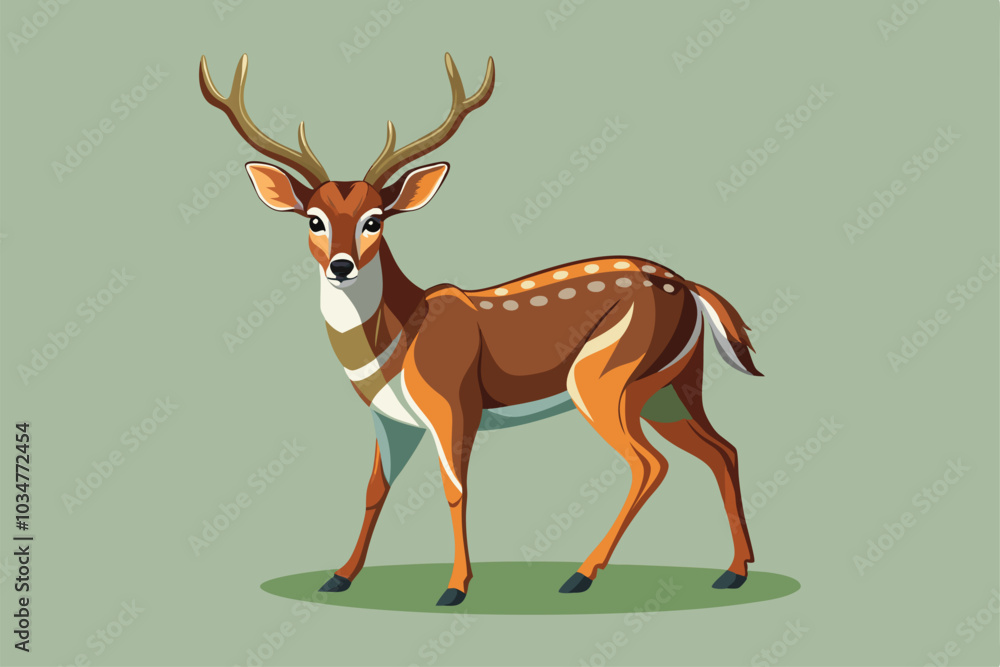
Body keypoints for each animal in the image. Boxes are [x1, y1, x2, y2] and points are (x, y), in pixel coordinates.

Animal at [199, 52, 762, 607]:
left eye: (375, 219)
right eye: (314, 219)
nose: (341, 266)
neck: (395, 345)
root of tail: (689, 286)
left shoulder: (455, 403)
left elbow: (455, 490)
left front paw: (454, 587)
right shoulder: (389, 420)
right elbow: (373, 490)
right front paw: (340, 576)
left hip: (606, 377)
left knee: (650, 464)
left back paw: (581, 575)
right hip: (673, 384)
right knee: (723, 449)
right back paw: (734, 571)